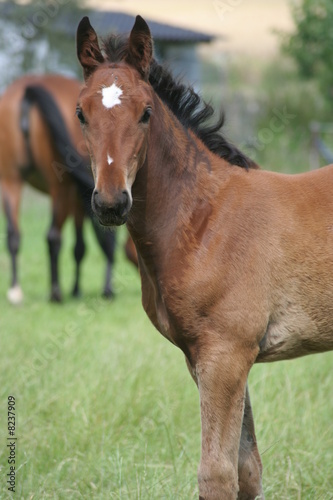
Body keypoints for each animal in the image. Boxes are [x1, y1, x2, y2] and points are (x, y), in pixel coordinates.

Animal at [0, 73, 115, 300]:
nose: (109, 291)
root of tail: (29, 88)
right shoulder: (76, 196)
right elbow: (80, 246)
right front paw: (76, 290)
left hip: (10, 180)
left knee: (13, 235)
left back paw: (15, 291)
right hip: (58, 187)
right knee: (53, 236)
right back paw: (56, 293)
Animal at [75, 15, 332, 500]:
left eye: (146, 112)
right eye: (82, 113)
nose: (111, 203)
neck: (204, 220)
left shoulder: (226, 355)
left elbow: (216, 474)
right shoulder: (205, 358)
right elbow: (247, 469)